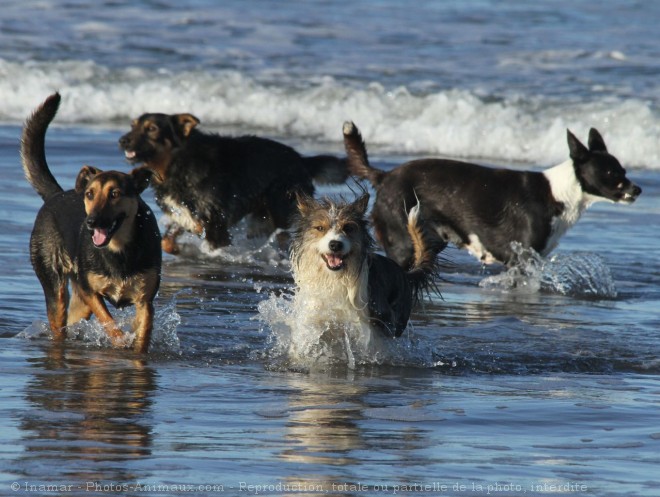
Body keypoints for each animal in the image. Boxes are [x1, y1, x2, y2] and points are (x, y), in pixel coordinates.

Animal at [22, 94, 162, 352]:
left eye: (115, 194)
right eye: (90, 194)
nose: (91, 222)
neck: (119, 248)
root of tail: (56, 195)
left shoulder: (145, 299)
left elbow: (144, 327)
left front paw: (136, 347)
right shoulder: (90, 292)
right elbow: (108, 321)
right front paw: (119, 341)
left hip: (80, 301)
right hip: (55, 283)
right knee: (59, 320)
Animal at [342, 121, 640, 268]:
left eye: (624, 170)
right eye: (612, 173)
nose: (637, 189)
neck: (559, 193)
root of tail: (384, 176)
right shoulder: (521, 259)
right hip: (403, 244)